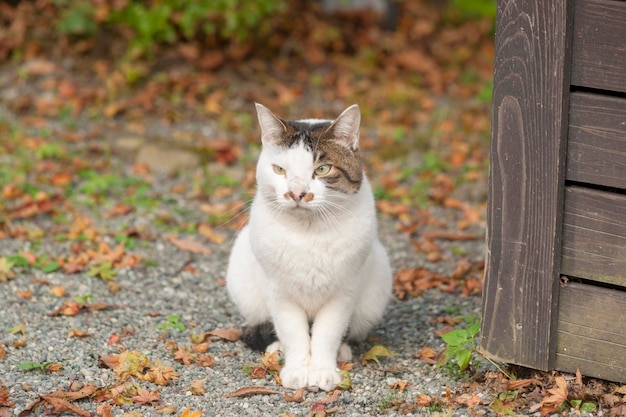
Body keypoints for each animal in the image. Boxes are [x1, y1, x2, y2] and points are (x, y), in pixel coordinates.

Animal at [224, 102, 390, 392]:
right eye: (279, 170)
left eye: (322, 169)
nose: (297, 193)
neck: (308, 232)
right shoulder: (279, 292)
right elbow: (293, 332)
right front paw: (297, 370)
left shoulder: (344, 291)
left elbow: (328, 333)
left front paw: (323, 370)